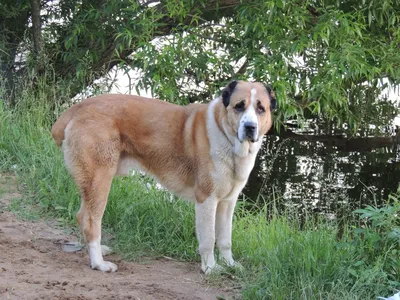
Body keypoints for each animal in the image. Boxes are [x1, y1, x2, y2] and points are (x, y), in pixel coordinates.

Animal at [51, 79, 276, 274]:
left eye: (260, 109)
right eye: (239, 106)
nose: (250, 127)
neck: (225, 135)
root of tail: (79, 107)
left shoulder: (228, 202)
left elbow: (225, 239)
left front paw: (230, 264)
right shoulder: (207, 199)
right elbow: (208, 238)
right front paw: (210, 268)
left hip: (92, 183)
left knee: (82, 216)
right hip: (100, 179)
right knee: (91, 221)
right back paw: (99, 263)